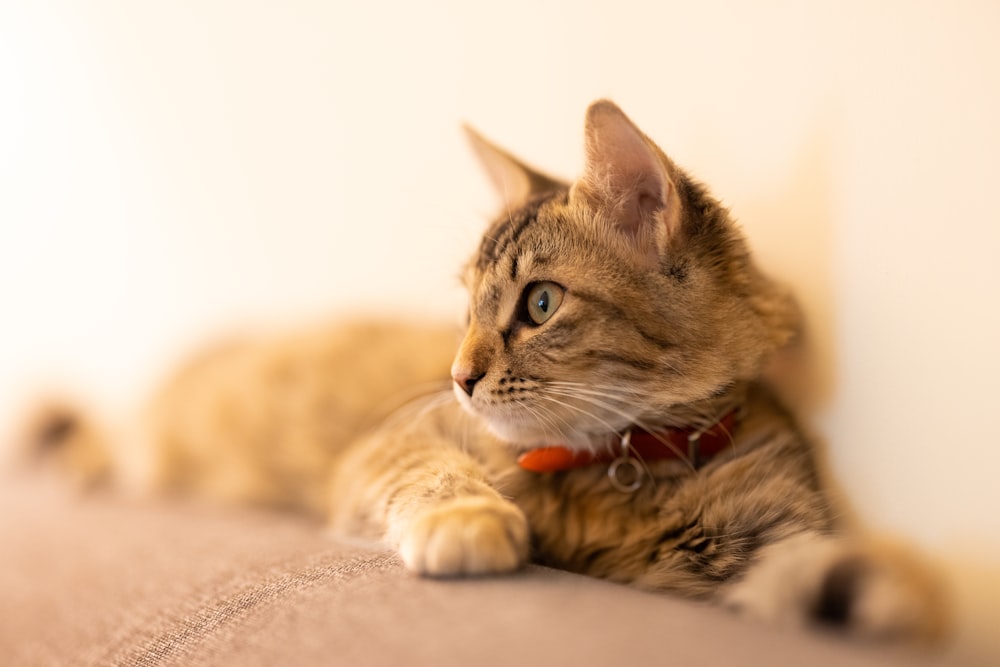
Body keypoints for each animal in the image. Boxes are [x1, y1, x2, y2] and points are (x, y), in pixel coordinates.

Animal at [19, 98, 948, 640]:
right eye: (467, 303)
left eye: (538, 304)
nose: (459, 375)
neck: (619, 473)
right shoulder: (392, 444)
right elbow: (436, 476)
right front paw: (470, 522)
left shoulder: (756, 539)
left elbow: (807, 569)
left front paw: (883, 587)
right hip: (156, 439)